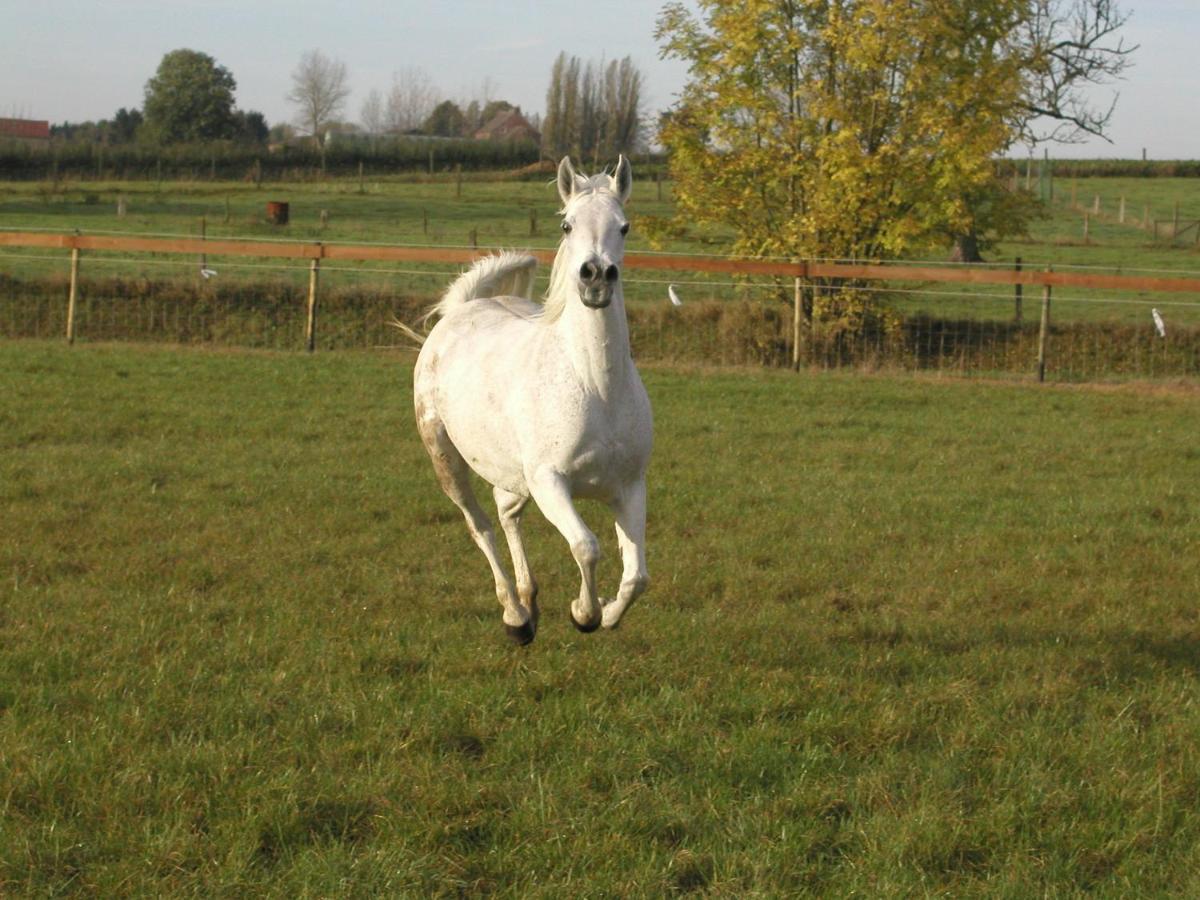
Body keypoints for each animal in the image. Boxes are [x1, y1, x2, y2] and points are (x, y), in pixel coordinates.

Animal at [415, 158, 657, 643]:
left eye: (624, 226)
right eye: (567, 225)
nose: (596, 277)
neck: (595, 388)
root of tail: (459, 309)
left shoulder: (629, 485)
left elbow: (637, 575)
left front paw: (608, 612)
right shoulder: (550, 482)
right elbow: (587, 546)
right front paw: (584, 614)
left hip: (512, 476)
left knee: (507, 515)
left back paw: (529, 603)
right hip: (446, 459)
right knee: (481, 527)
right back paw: (515, 616)